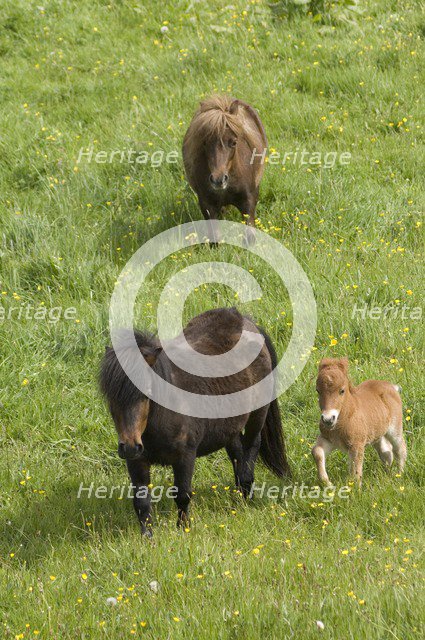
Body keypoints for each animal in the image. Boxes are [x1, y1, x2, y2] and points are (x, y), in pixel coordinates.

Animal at [100, 308, 290, 535]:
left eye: (146, 392)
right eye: (110, 397)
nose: (129, 446)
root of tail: (245, 319)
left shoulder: (185, 456)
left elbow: (182, 495)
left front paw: (184, 530)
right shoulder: (137, 460)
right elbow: (141, 502)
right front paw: (147, 537)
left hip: (257, 415)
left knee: (251, 447)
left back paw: (246, 493)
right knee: (236, 452)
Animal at [182, 95, 268, 244]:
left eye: (233, 142)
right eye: (204, 142)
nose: (218, 180)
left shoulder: (249, 202)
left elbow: (250, 237)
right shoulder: (207, 205)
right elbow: (215, 239)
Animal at [312, 358, 406, 486]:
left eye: (342, 391)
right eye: (318, 390)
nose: (328, 419)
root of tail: (391, 386)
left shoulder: (356, 445)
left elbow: (355, 471)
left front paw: (355, 489)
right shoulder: (329, 440)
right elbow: (316, 452)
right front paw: (328, 484)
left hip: (394, 428)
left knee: (400, 448)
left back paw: (399, 475)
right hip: (377, 433)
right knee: (386, 452)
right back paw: (387, 474)